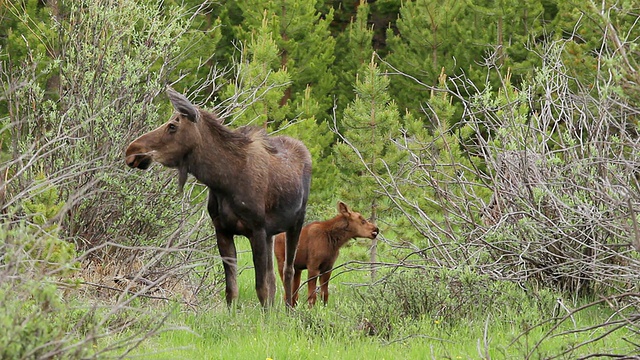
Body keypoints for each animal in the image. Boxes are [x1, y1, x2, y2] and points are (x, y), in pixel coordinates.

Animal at [125, 86, 312, 306]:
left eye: (172, 126)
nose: (132, 150)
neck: (223, 182)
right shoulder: (223, 230)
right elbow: (232, 290)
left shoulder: (256, 230)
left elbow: (261, 288)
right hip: (271, 234)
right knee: (274, 276)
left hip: (296, 222)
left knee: (288, 270)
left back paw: (290, 309)